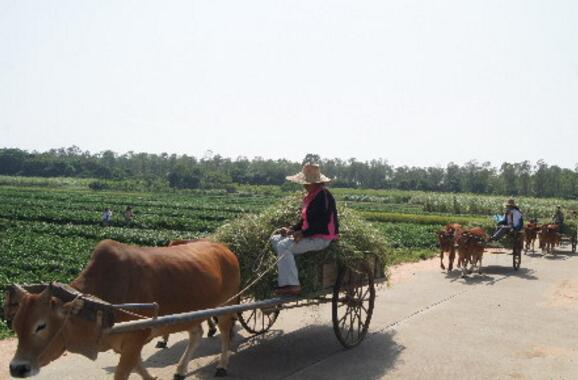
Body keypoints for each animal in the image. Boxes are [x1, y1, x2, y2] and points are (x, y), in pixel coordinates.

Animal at [5, 240, 238, 380]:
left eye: (41, 326)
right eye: (14, 325)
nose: (17, 368)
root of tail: (224, 248)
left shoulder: (135, 338)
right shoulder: (126, 344)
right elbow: (140, 367)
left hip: (227, 306)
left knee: (225, 333)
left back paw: (222, 366)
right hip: (190, 314)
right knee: (196, 334)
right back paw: (181, 369)